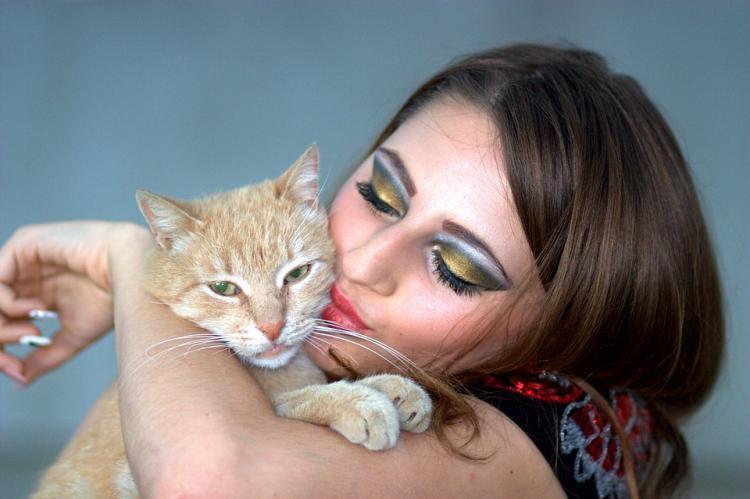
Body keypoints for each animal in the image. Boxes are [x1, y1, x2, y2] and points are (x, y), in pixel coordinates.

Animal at [33, 145, 434, 496]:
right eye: (224, 288)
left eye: (297, 274)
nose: (272, 328)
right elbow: (292, 400)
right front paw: (359, 401)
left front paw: (395, 388)